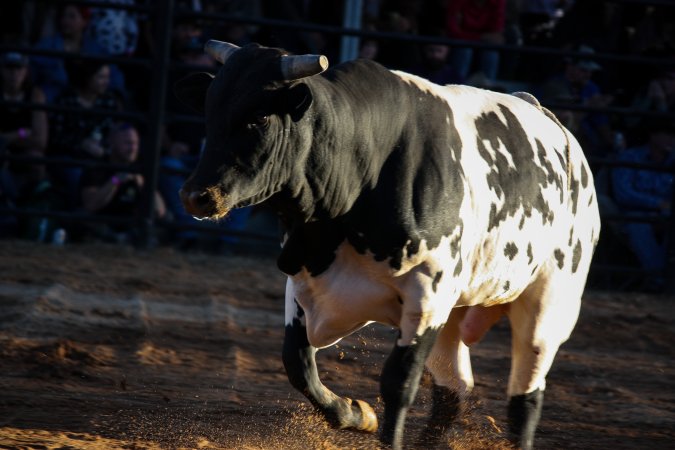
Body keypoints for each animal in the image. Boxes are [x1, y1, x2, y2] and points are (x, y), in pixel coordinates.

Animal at [175, 40, 601, 450]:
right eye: (209, 111)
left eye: (259, 117)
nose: (198, 196)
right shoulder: (302, 279)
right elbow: (297, 363)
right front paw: (355, 413)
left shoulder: (426, 298)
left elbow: (398, 384)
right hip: (456, 312)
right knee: (453, 390)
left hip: (548, 305)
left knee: (525, 396)